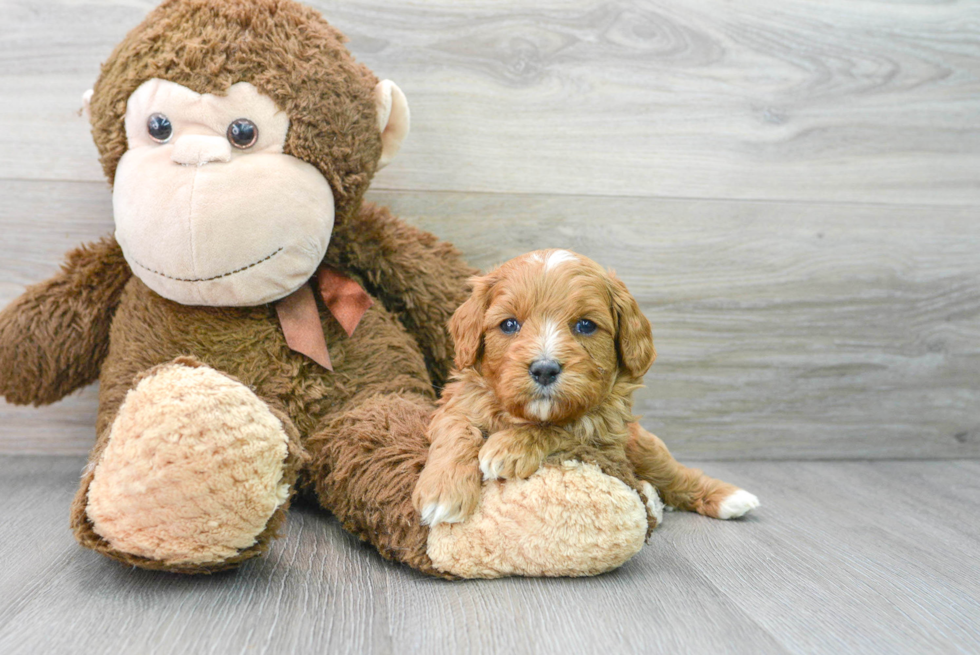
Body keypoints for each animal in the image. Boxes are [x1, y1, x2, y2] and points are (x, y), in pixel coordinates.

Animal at [412, 250, 756, 528]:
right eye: (509, 324)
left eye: (586, 325)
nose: (544, 369)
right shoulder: (457, 403)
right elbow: (457, 432)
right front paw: (442, 492)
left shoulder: (605, 429)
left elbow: (564, 428)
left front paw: (509, 447)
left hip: (641, 444)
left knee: (673, 474)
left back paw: (728, 497)